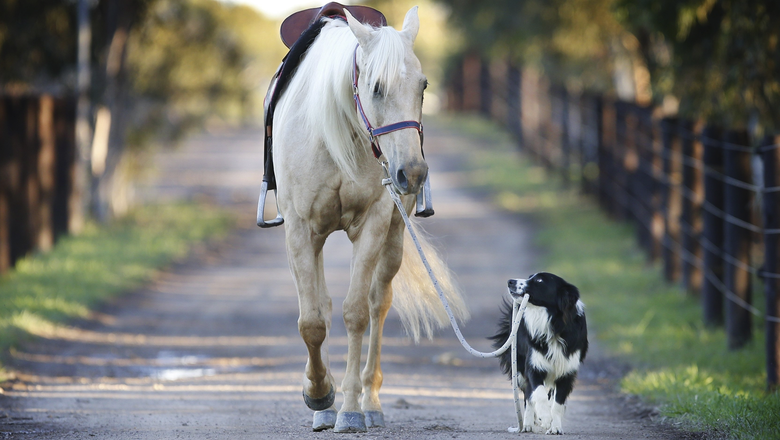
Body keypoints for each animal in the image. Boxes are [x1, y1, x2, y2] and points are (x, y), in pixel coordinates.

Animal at [272, 6, 470, 434]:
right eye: (376, 87)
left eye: (423, 86)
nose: (412, 173)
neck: (337, 135)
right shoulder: (299, 230)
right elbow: (312, 321)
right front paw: (319, 395)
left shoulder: (374, 224)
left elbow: (357, 313)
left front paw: (349, 408)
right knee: (322, 305)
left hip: (394, 235)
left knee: (379, 303)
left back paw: (371, 401)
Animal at [490, 272, 588, 434]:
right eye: (530, 276)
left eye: (540, 280)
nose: (510, 281)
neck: (554, 325)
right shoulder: (534, 366)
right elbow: (539, 394)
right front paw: (545, 418)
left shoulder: (567, 371)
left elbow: (557, 403)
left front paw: (555, 428)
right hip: (520, 368)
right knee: (528, 396)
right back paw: (527, 424)